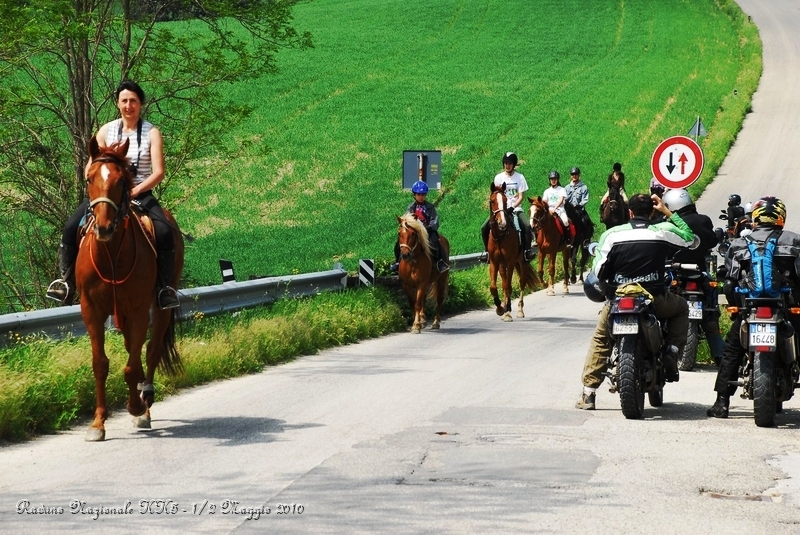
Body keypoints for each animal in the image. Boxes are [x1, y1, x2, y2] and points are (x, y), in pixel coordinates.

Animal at [77, 137, 184, 440]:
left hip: (159, 308)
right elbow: (100, 364)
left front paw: (135, 408)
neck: (112, 254)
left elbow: (132, 365)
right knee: (132, 348)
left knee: (151, 350)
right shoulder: (91, 309)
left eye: (121, 181)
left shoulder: (137, 310)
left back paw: (145, 405)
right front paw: (98, 423)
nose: (103, 227)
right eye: (89, 178)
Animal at [484, 182, 540, 320]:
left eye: (505, 200)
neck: (500, 236)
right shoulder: (494, 262)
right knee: (504, 283)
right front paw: (500, 309)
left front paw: (508, 310)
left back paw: (519, 310)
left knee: (521, 283)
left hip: (521, 262)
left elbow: (508, 287)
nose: (502, 223)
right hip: (502, 265)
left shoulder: (509, 262)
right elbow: (494, 287)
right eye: (492, 201)